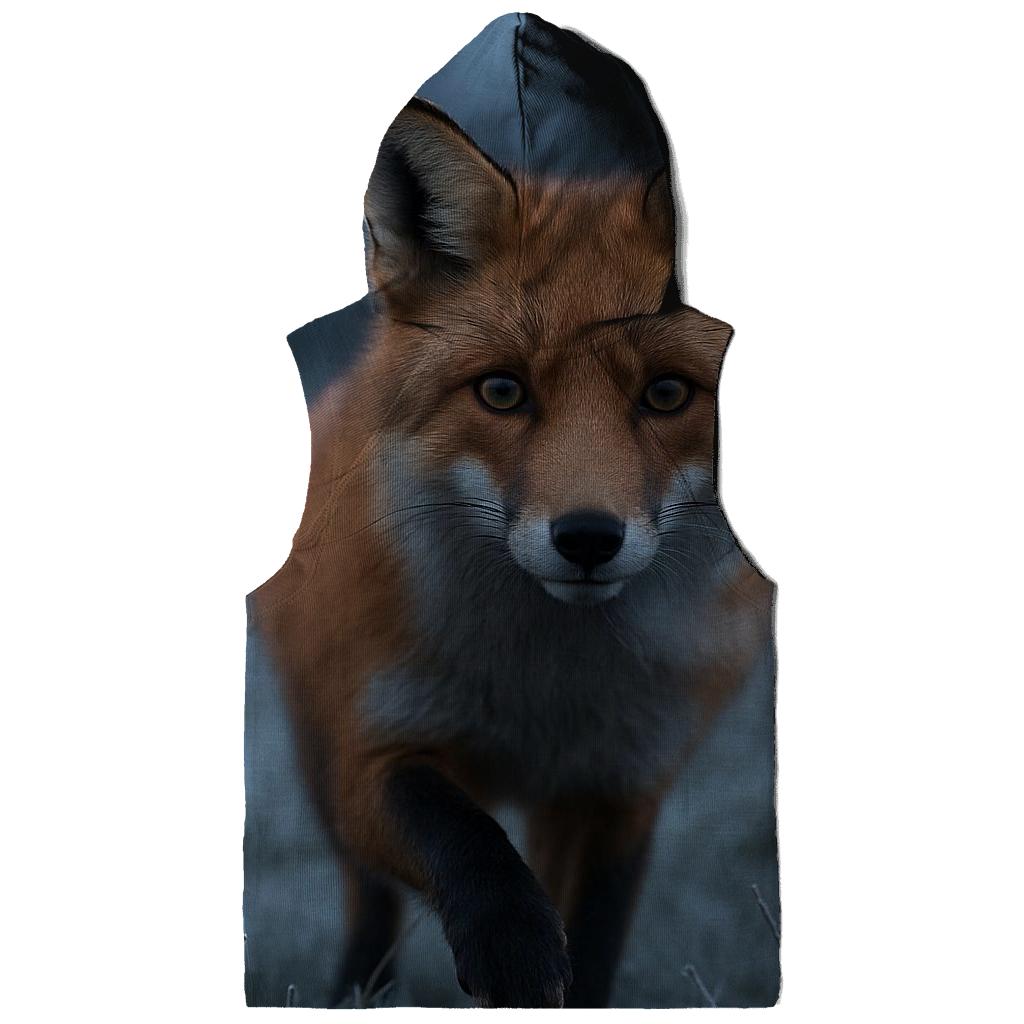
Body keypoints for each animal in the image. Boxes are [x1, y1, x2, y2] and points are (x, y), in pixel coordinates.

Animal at [250, 98, 773, 1008]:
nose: (588, 538)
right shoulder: (370, 743)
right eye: (502, 391)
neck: (545, 694)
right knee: (369, 908)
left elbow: (592, 946)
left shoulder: (618, 789)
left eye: (667, 393)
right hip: (315, 744)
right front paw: (510, 946)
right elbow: (461, 833)